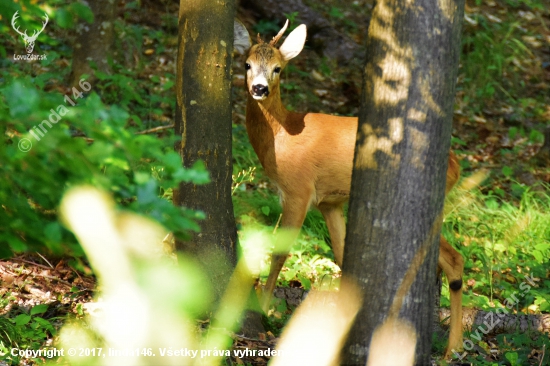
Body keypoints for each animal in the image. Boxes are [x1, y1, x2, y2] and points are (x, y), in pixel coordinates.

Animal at [234, 20, 466, 358]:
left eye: (278, 68)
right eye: (247, 64)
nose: (259, 88)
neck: (282, 136)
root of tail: (455, 164)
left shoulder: (299, 189)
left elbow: (279, 251)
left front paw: (263, 309)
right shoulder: (329, 202)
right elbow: (344, 257)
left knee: (453, 257)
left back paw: (454, 347)